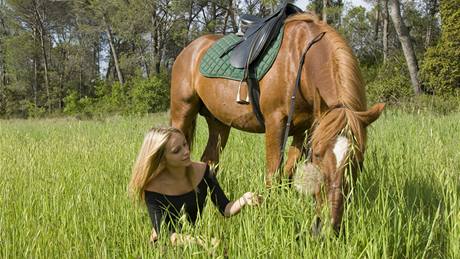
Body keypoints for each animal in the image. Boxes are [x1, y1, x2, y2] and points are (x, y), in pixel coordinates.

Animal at [170, 13, 384, 235]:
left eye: (359, 159)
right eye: (317, 155)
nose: (328, 227)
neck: (301, 62)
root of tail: (190, 49)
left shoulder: (304, 130)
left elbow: (288, 173)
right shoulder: (276, 123)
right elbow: (273, 175)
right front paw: (268, 217)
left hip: (219, 124)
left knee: (210, 163)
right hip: (182, 113)